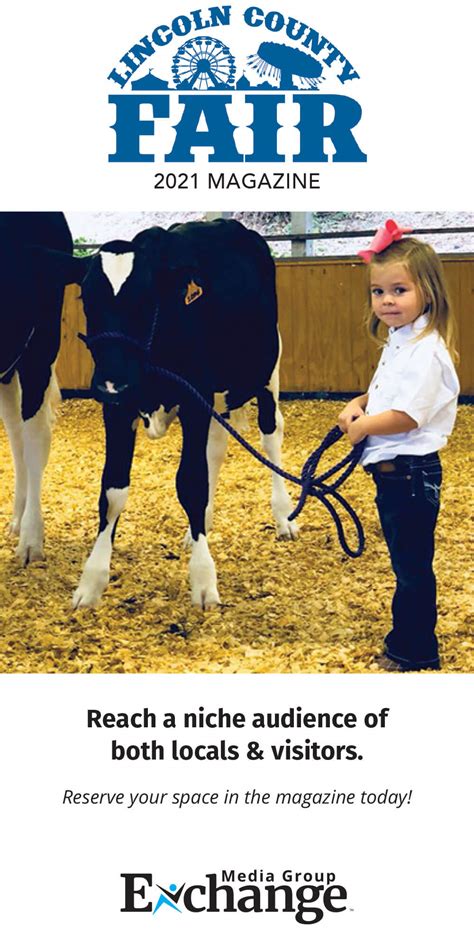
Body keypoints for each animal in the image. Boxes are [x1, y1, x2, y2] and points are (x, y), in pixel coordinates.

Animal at [73, 218, 296, 608]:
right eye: (87, 298)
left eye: (146, 298)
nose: (112, 382)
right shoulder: (118, 408)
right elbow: (112, 490)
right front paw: (92, 580)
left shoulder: (194, 401)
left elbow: (191, 483)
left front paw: (203, 580)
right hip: (217, 396)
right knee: (216, 449)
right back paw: (199, 528)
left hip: (268, 368)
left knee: (271, 434)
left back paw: (283, 515)